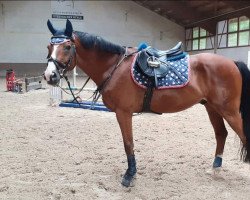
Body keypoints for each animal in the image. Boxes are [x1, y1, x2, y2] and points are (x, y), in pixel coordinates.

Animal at [43, 19, 250, 187]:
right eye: (48, 47)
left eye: (67, 47)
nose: (50, 76)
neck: (114, 67)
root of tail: (232, 62)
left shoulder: (123, 112)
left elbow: (128, 143)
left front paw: (129, 176)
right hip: (212, 107)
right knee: (221, 134)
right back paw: (215, 167)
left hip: (229, 110)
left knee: (243, 136)